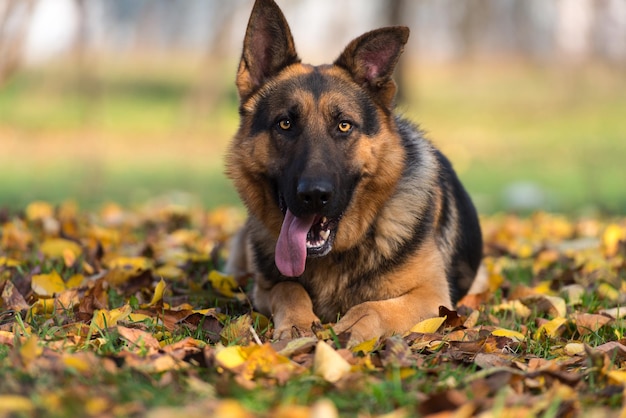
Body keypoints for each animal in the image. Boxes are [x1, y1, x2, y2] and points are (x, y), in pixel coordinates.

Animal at [225, 0, 482, 342]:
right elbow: (289, 288)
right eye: (285, 123)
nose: (314, 195)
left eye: (344, 125)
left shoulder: (433, 298)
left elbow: (371, 307)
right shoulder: (266, 286)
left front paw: (348, 330)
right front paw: (297, 325)